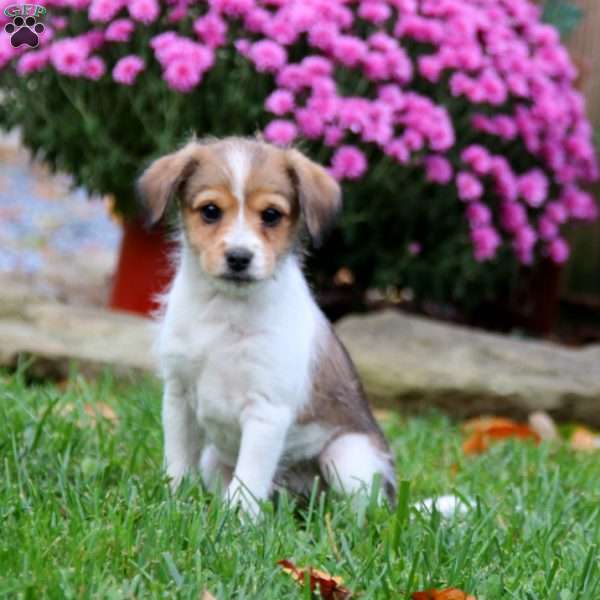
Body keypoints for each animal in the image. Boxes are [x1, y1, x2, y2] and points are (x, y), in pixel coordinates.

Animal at [138, 136, 396, 516]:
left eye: (271, 215)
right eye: (210, 211)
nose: (239, 258)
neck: (226, 311)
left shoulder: (266, 411)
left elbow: (248, 479)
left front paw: (236, 520)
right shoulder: (178, 396)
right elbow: (179, 462)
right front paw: (174, 503)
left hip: (348, 457)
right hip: (212, 459)